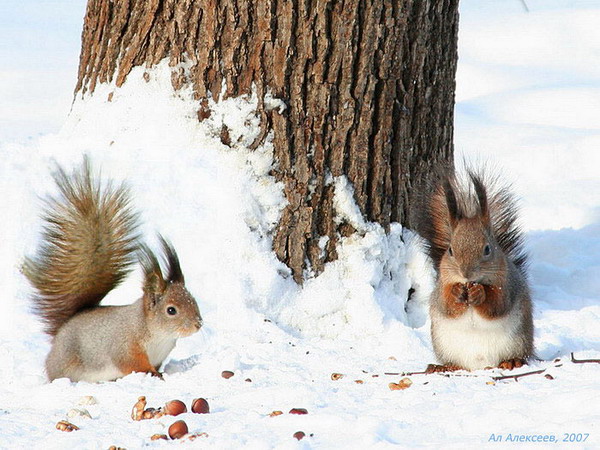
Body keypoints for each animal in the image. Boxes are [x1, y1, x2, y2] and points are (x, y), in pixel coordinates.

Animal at [22, 159, 204, 384]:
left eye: (193, 300)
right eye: (171, 310)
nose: (198, 324)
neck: (155, 332)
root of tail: (60, 334)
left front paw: (159, 372)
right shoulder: (125, 345)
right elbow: (131, 363)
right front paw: (153, 374)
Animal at [412, 169, 536, 372]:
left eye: (487, 249)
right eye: (450, 250)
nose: (466, 273)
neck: (470, 283)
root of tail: (479, 366)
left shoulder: (507, 284)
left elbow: (497, 305)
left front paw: (480, 293)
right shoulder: (442, 286)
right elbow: (447, 306)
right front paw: (456, 292)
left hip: (519, 340)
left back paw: (512, 361)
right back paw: (445, 367)